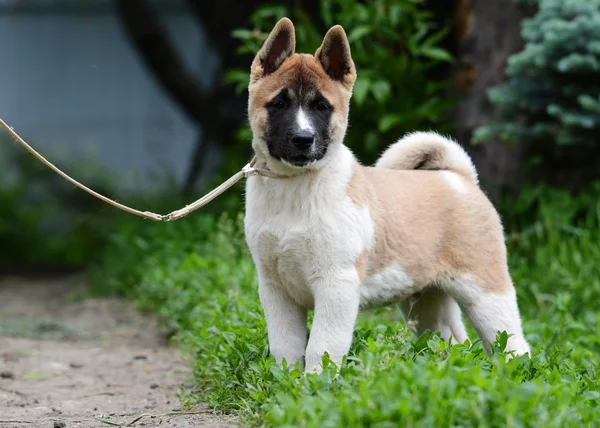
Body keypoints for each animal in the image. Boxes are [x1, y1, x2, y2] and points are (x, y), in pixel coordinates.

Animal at [244, 17, 528, 372]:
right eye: (279, 103)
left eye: (322, 107)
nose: (303, 138)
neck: (294, 188)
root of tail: (457, 176)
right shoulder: (275, 288)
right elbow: (285, 346)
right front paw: (286, 381)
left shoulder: (336, 285)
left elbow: (322, 346)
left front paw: (314, 381)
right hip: (427, 301)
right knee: (451, 339)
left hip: (486, 292)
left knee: (513, 342)